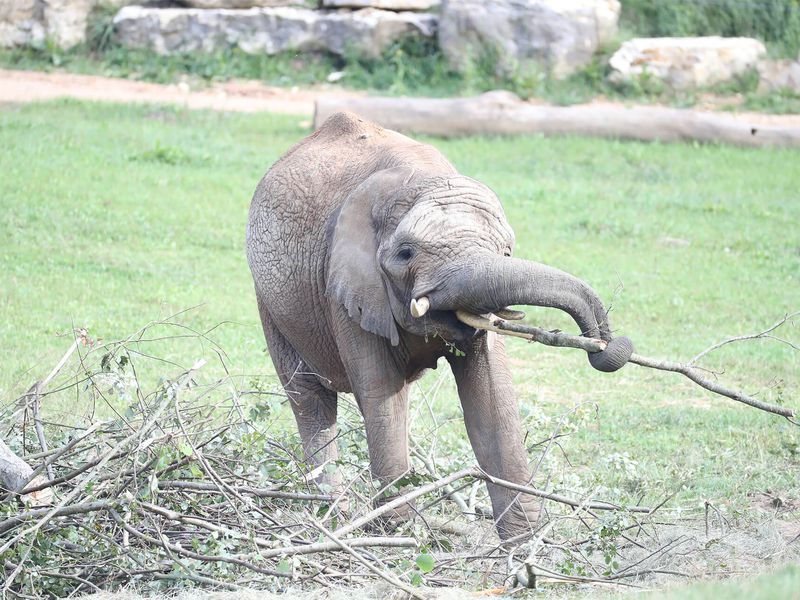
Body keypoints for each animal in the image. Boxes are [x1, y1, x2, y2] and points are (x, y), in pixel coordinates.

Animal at [246, 111, 633, 540]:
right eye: (405, 253)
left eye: (507, 253)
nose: (607, 345)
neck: (417, 177)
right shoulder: (345, 283)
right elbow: (381, 393)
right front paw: (400, 538)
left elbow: (492, 397)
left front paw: (525, 545)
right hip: (270, 302)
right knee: (308, 399)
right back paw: (331, 517)